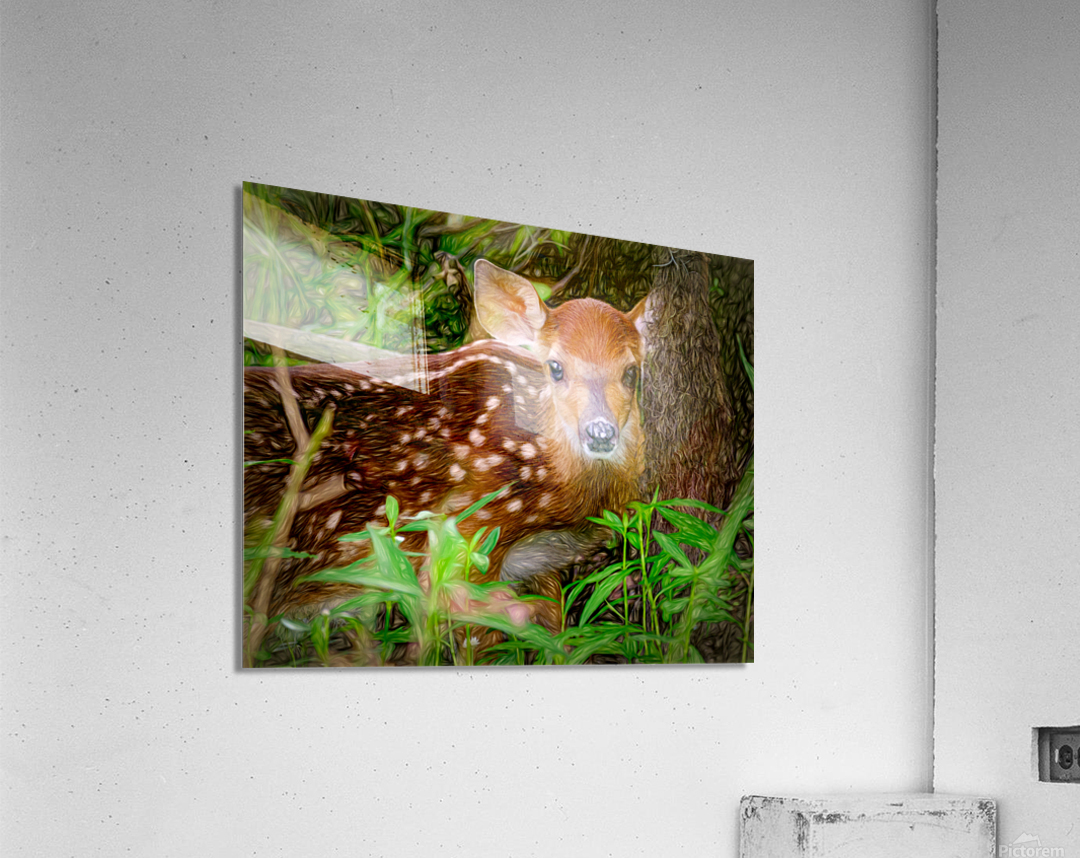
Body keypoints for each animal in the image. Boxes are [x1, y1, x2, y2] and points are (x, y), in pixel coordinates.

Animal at [243, 259, 649, 661]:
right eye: (556, 367)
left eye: (631, 371)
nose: (600, 432)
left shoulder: (541, 563)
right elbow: (478, 637)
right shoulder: (468, 533)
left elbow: (557, 630)